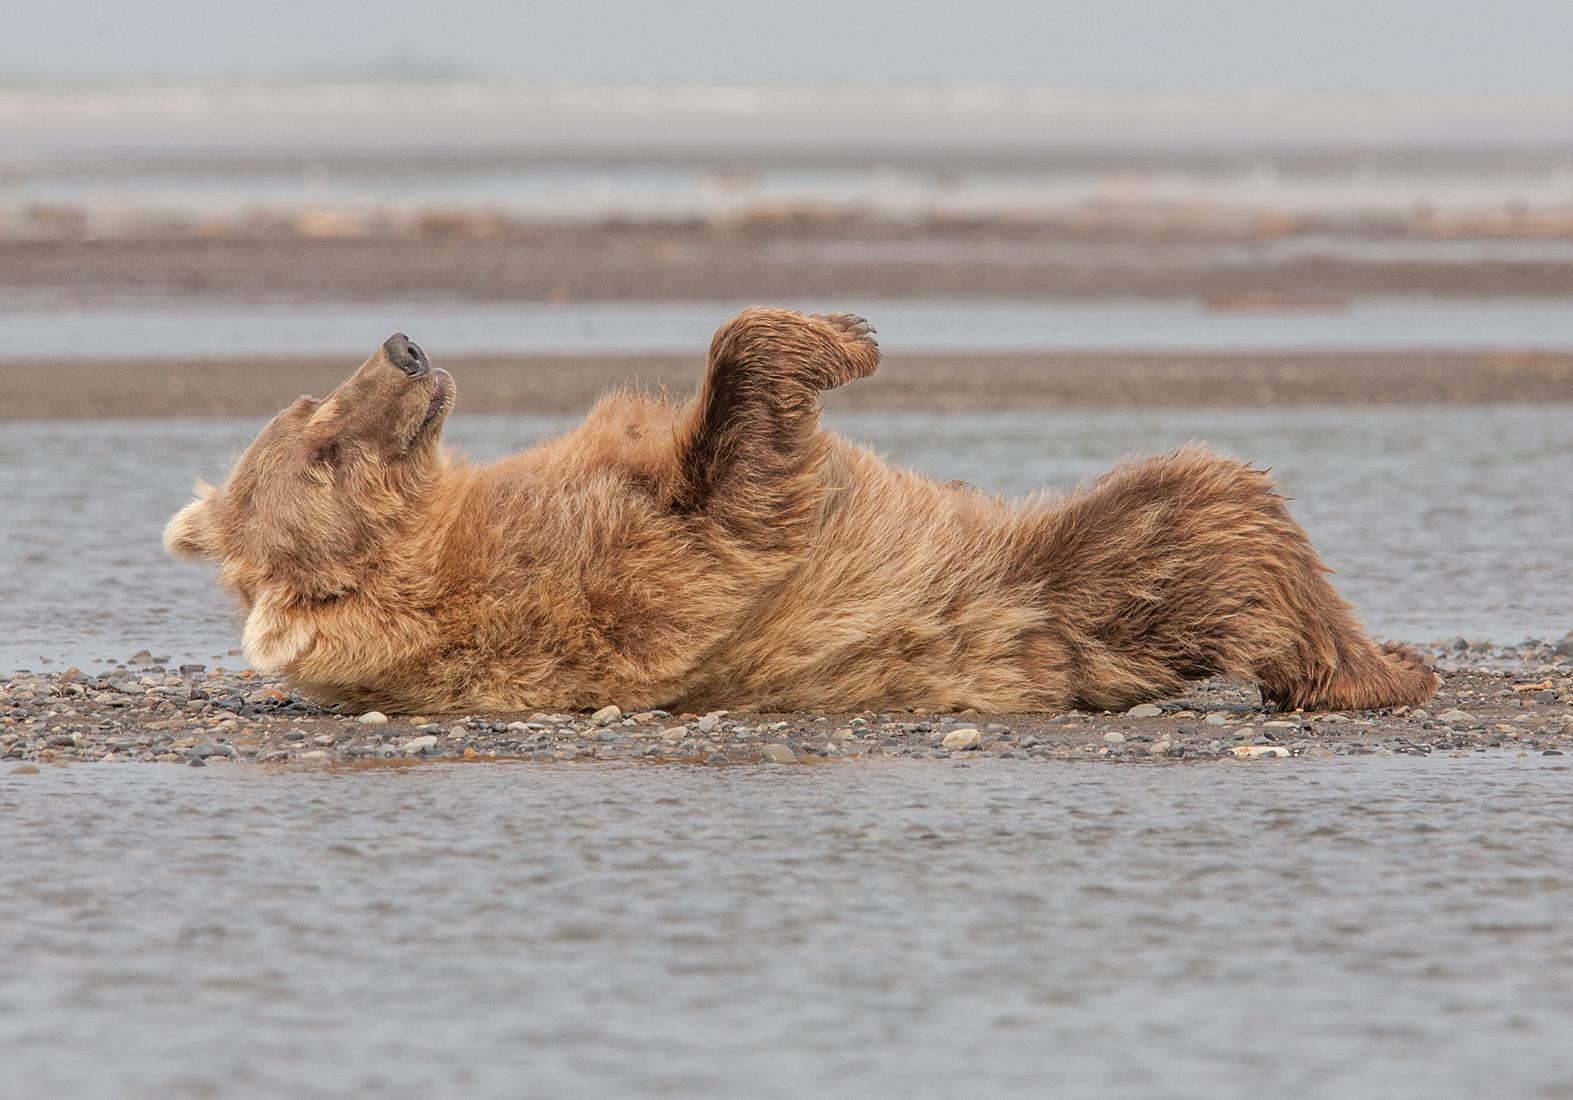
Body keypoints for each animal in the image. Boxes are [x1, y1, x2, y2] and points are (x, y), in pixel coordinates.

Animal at [164, 308, 1438, 715]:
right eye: (325, 446)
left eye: (302, 405)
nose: (403, 346)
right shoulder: (617, 581)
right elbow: (743, 489)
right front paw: (844, 337)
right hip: (1093, 586)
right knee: (1218, 512)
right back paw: (1374, 669)